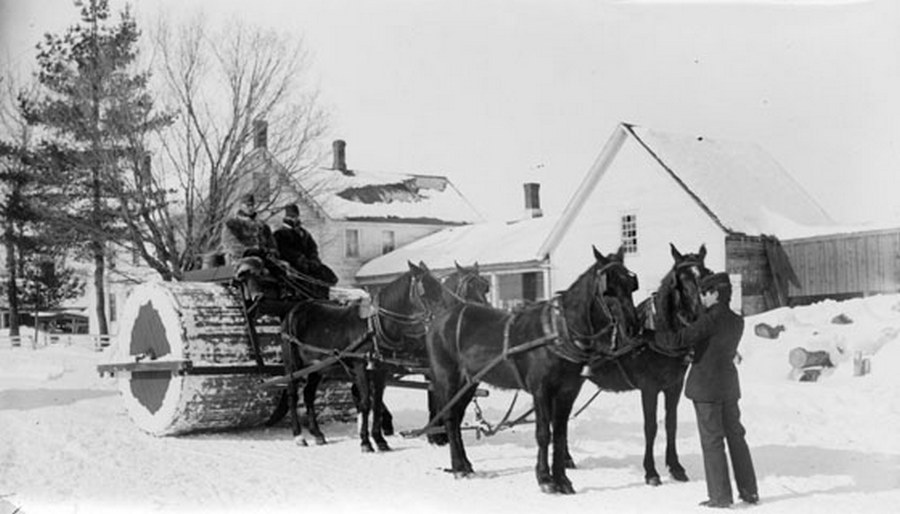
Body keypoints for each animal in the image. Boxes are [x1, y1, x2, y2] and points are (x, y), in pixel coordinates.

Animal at [282, 260, 492, 448]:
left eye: (485, 287)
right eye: (425, 291)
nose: (486, 314)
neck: (375, 326)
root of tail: (294, 310)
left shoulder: (381, 369)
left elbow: (376, 402)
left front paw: (380, 440)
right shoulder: (362, 366)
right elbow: (367, 402)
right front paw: (367, 442)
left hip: (318, 367)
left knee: (309, 395)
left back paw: (317, 433)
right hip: (294, 365)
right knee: (292, 394)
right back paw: (298, 436)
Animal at [424, 245, 640, 492]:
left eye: (630, 285)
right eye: (607, 290)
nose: (633, 328)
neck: (558, 332)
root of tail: (439, 320)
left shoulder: (567, 392)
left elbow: (560, 435)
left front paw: (562, 479)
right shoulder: (541, 390)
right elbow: (544, 434)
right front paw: (545, 479)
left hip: (469, 382)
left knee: (458, 418)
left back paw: (466, 465)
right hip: (448, 378)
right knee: (450, 418)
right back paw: (458, 467)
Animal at [584, 243, 712, 484]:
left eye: (707, 274)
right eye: (680, 281)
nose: (700, 316)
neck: (658, 333)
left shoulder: (674, 386)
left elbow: (671, 424)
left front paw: (675, 467)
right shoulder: (649, 388)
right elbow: (650, 427)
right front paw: (651, 471)